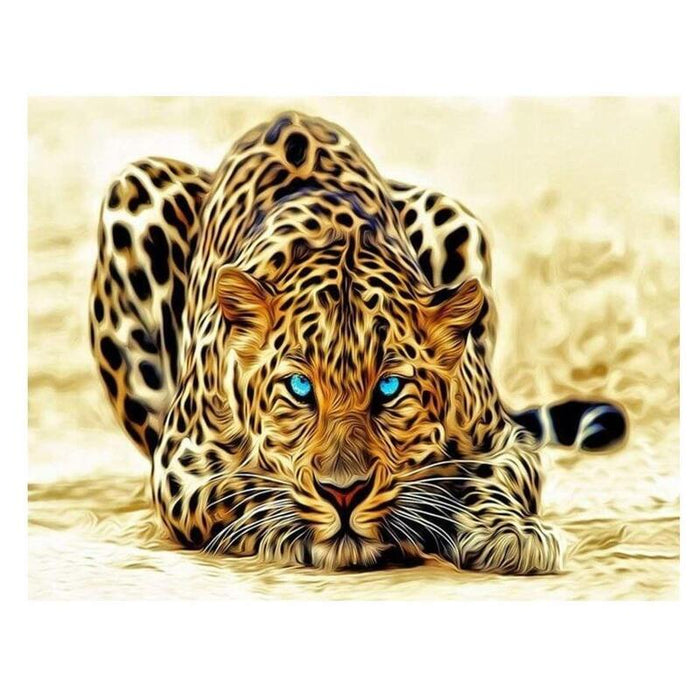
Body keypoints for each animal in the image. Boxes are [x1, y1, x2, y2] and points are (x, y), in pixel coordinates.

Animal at [89, 111, 626, 573]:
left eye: (389, 389)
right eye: (300, 389)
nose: (343, 493)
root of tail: (289, 115)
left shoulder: (503, 441)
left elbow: (494, 479)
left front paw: (509, 533)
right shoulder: (182, 464)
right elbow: (244, 489)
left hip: (453, 216)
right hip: (135, 188)